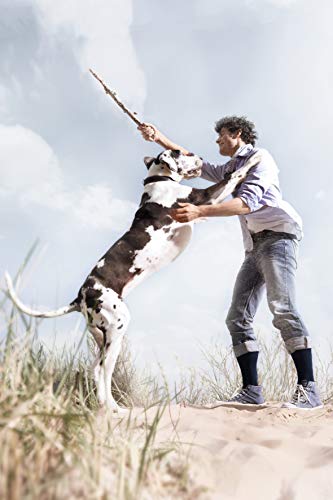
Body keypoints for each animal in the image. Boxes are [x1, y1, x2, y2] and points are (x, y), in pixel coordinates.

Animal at [3, 148, 260, 414]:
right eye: (182, 153)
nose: (199, 157)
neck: (159, 180)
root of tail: (80, 297)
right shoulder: (204, 198)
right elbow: (233, 177)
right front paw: (253, 158)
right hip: (117, 326)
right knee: (104, 370)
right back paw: (113, 408)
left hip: (103, 336)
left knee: (96, 369)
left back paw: (110, 407)